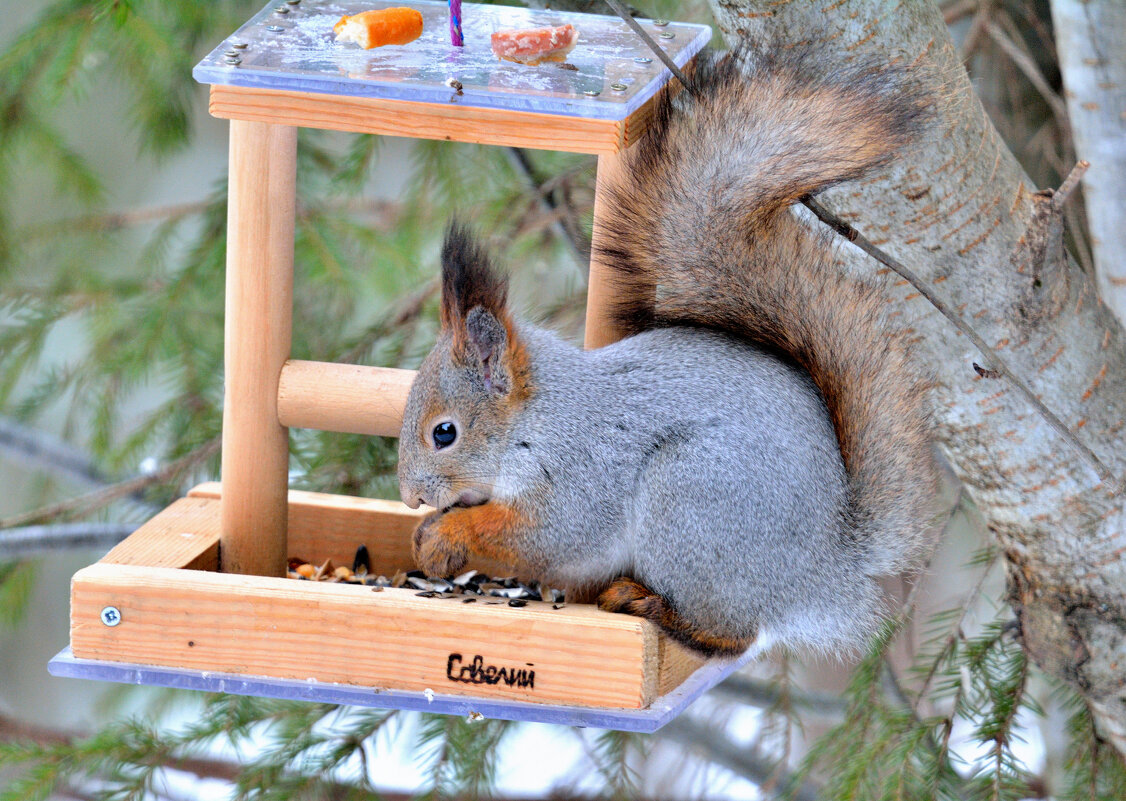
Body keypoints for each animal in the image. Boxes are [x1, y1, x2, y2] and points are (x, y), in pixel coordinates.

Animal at [398, 42, 941, 657]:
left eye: (445, 433)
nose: (410, 496)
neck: (537, 420)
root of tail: (827, 573)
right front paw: (428, 533)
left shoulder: (582, 473)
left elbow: (545, 534)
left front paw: (445, 534)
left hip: (688, 500)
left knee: (735, 633)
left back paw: (651, 605)